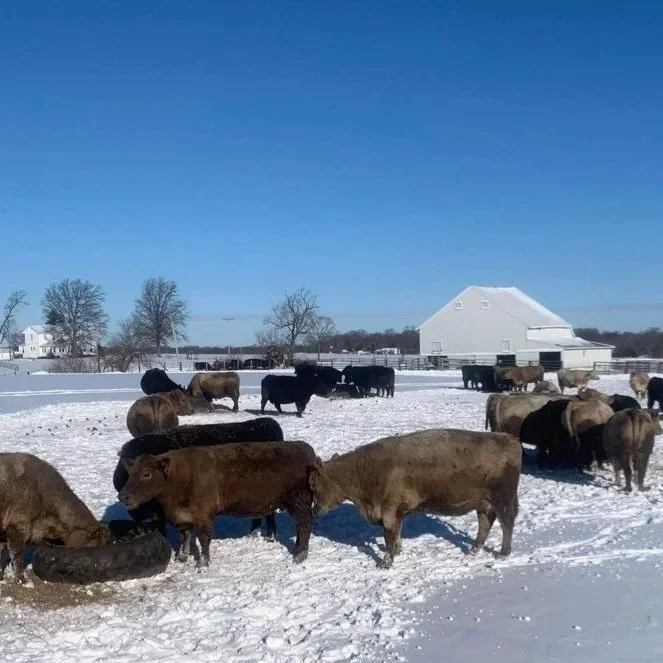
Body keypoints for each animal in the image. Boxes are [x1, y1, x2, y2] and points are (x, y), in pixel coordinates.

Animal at [113, 419, 285, 538]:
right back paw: (253, 533)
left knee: (269, 514)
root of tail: (268, 423)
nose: (147, 521)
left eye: (146, 476)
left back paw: (270, 536)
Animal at [119, 441, 317, 566]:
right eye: (130, 473)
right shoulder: (184, 518)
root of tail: (306, 450)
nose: (123, 496)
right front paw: (182, 556)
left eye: (147, 474)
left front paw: (203, 563)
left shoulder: (204, 515)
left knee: (304, 526)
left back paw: (300, 555)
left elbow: (204, 539)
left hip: (299, 502)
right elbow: (185, 537)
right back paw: (296, 549)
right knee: (301, 527)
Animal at [308, 429, 521, 569]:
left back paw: (503, 553)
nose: (315, 509)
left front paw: (385, 563)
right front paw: (398, 551)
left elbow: (389, 538)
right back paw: (473, 550)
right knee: (485, 524)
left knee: (506, 524)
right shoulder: (397, 514)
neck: (364, 470)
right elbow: (397, 534)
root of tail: (509, 439)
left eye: (313, 485)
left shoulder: (389, 513)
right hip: (483, 504)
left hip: (503, 501)